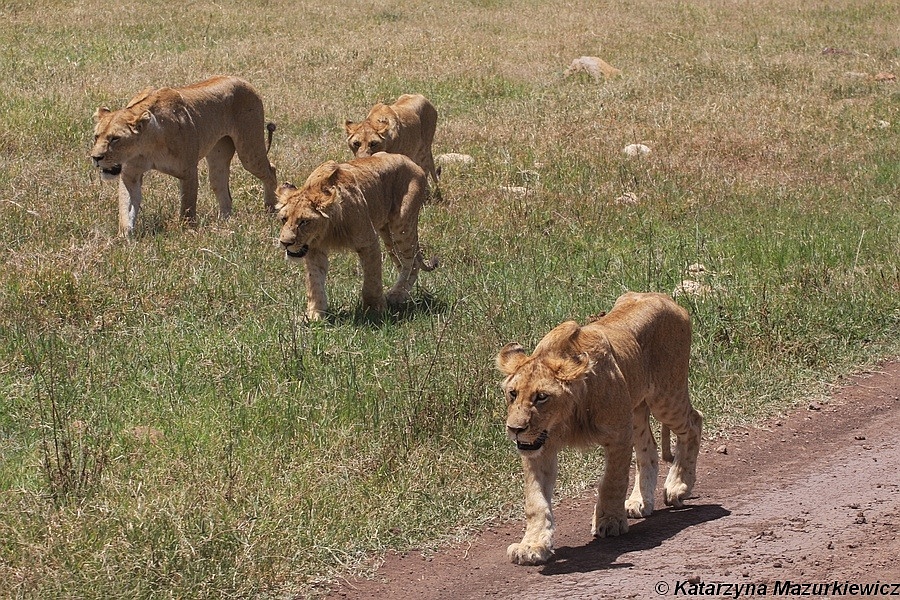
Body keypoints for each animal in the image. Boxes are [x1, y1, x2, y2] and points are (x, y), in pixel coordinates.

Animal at [90, 74, 278, 234]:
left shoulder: (188, 171)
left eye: (115, 139)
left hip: (249, 151)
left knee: (271, 170)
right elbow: (126, 209)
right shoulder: (130, 175)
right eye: (96, 136)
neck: (146, 147)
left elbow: (187, 206)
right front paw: (124, 238)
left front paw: (187, 232)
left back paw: (270, 210)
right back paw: (224, 224)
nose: (96, 158)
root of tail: (242, 79)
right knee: (222, 188)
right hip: (218, 156)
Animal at [278, 152, 440, 322]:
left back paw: (396, 296)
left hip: (402, 225)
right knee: (404, 264)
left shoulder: (369, 242)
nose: (285, 243)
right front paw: (315, 315)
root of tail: (410, 161)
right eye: (284, 219)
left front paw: (375, 311)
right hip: (387, 234)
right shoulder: (314, 249)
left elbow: (371, 281)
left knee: (412, 263)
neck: (328, 230)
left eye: (304, 221)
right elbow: (314, 282)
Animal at [500, 292, 704, 564]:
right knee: (648, 449)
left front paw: (610, 521)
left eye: (541, 397)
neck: (567, 418)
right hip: (636, 408)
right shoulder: (538, 449)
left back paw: (678, 486)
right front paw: (532, 546)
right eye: (513, 393)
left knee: (694, 422)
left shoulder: (618, 435)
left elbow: (612, 481)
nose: (514, 428)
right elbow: (535, 501)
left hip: (665, 395)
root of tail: (662, 296)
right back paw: (639, 501)